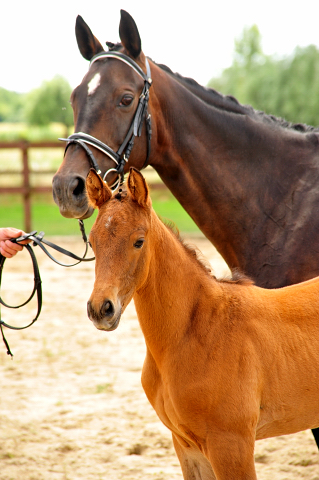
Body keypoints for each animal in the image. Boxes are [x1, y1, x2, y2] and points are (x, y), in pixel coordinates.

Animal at [86, 167, 319, 478]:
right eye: (92, 241)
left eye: (139, 241)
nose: (101, 309)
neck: (197, 330)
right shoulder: (188, 447)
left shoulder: (231, 444)